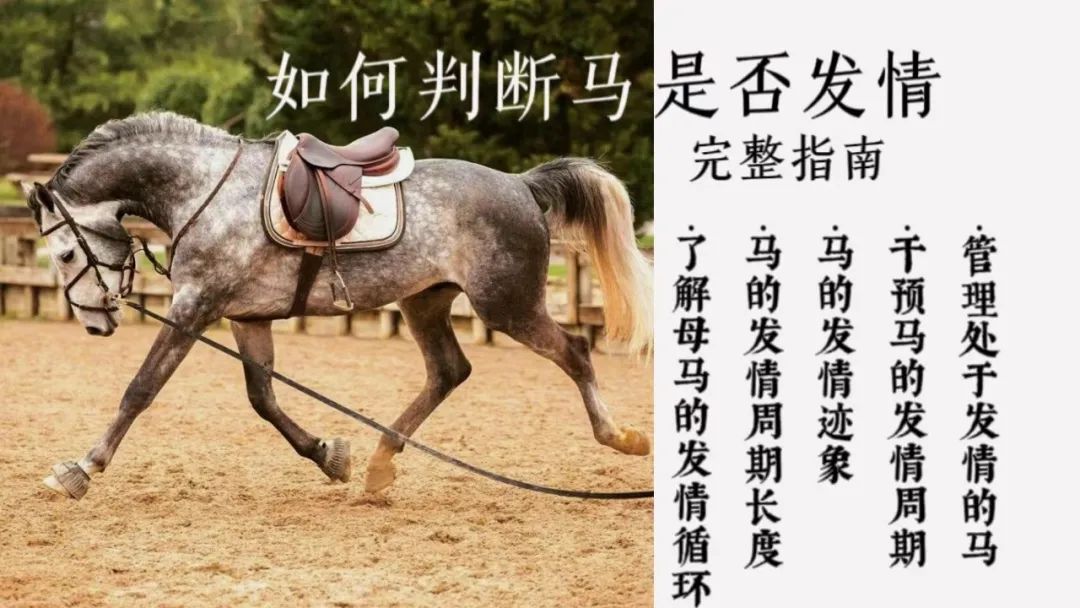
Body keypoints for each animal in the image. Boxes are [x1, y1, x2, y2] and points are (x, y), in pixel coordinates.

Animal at [22, 112, 653, 500]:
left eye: (62, 253)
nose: (96, 323)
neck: (205, 189)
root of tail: (522, 185)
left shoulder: (194, 307)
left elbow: (141, 389)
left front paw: (81, 469)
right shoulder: (246, 316)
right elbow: (263, 398)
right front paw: (329, 455)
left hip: (507, 304)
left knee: (575, 352)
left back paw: (620, 437)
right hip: (425, 303)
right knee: (449, 371)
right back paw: (379, 463)